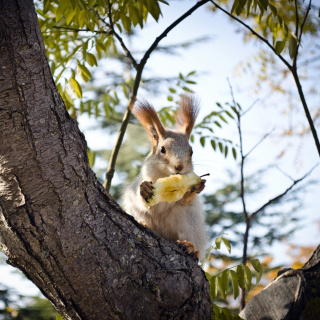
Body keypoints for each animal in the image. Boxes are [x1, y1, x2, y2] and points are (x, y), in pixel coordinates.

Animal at [122, 94, 208, 260]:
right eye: (162, 149)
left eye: (191, 151)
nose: (179, 167)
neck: (166, 175)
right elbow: (146, 203)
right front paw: (145, 189)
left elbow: (186, 200)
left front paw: (198, 187)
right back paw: (144, 224)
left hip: (188, 220)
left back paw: (190, 247)